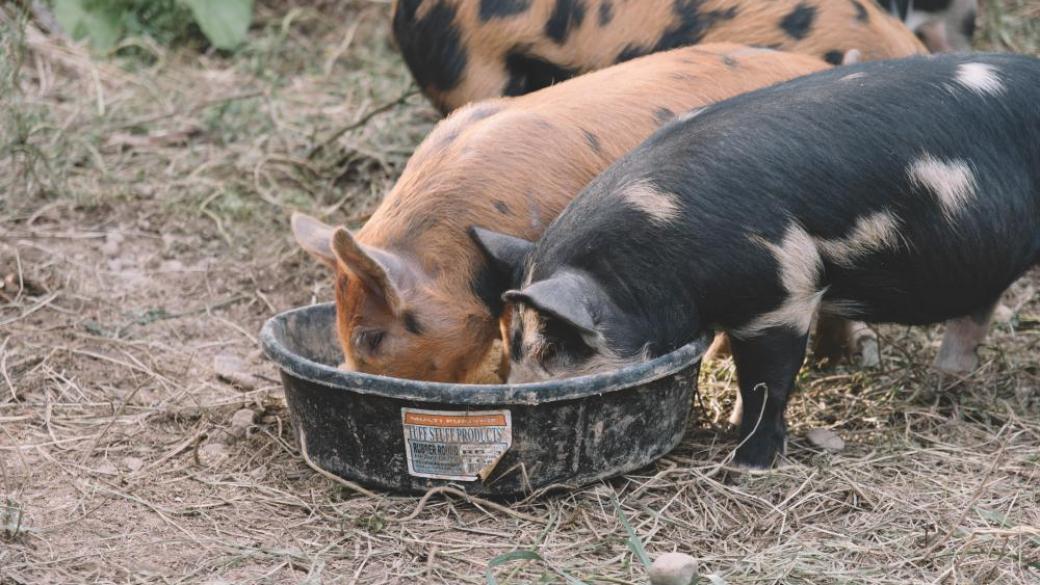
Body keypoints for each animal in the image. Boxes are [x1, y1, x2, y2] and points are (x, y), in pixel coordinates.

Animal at [476, 52, 1040, 466]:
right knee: (979, 308)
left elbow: (767, 379)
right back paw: (944, 386)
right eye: (513, 343)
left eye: (555, 347)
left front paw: (746, 462)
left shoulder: (782, 291)